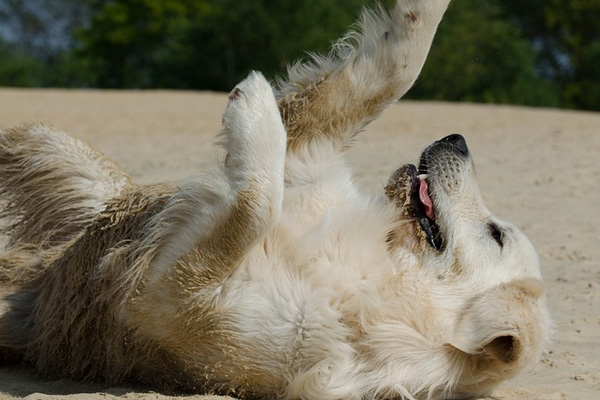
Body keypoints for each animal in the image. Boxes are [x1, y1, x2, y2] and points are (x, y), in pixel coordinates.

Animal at [0, 0, 548, 398]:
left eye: (496, 234)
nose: (458, 138)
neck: (377, 271)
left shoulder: (169, 303)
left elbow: (254, 205)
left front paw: (252, 103)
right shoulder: (310, 158)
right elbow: (397, 66)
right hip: (58, 154)